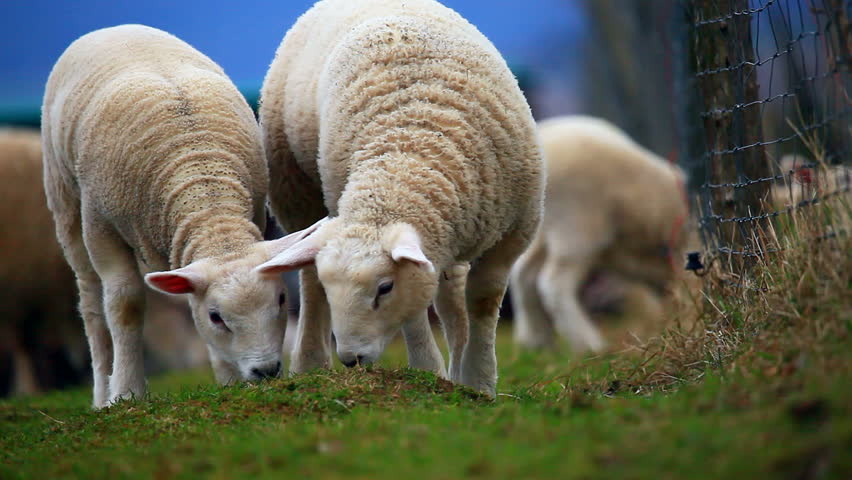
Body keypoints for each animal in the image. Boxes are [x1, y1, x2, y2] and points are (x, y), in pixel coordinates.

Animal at [42, 24, 323, 408]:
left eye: (281, 300)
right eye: (216, 317)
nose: (266, 370)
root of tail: (115, 28)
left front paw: (228, 380)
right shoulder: (100, 226)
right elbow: (124, 304)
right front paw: (127, 392)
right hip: (66, 204)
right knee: (91, 304)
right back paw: (101, 395)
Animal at [257, 0, 543, 396]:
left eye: (384, 288)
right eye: (335, 291)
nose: (352, 359)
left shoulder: (512, 234)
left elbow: (481, 302)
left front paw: (478, 381)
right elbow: (414, 312)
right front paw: (428, 371)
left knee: (451, 298)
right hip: (297, 192)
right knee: (309, 281)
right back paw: (311, 363)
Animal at [510, 116, 688, 352]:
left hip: (544, 232)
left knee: (524, 274)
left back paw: (537, 340)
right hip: (578, 226)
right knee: (553, 283)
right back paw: (588, 344)